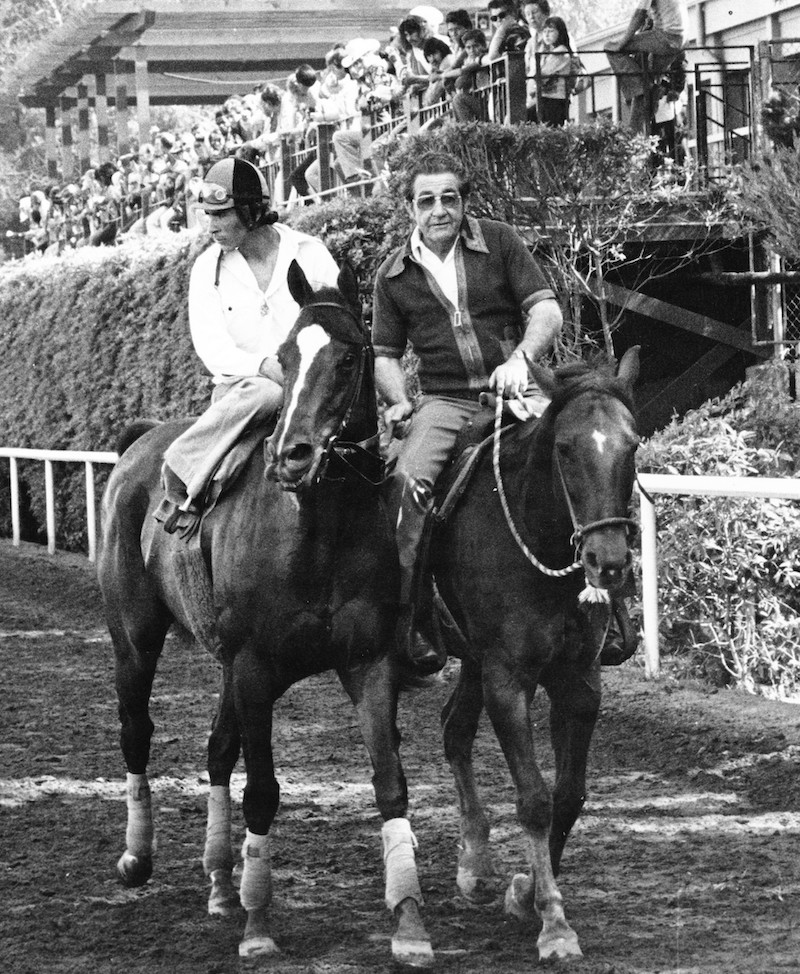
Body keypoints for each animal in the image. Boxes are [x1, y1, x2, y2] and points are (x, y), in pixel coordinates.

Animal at [101, 262, 438, 968]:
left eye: (350, 357)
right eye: (284, 357)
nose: (292, 454)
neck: (315, 533)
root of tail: (138, 445)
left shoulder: (368, 665)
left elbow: (390, 783)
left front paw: (409, 920)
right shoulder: (255, 669)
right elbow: (262, 790)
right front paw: (259, 927)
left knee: (216, 749)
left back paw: (220, 884)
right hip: (136, 640)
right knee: (137, 732)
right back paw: (138, 857)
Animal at [428, 346, 640, 964]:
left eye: (633, 445)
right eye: (565, 449)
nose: (607, 562)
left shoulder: (580, 682)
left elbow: (568, 795)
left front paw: (526, 894)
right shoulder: (508, 681)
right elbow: (534, 799)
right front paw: (552, 922)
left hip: (472, 660)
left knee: (454, 728)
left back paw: (475, 863)